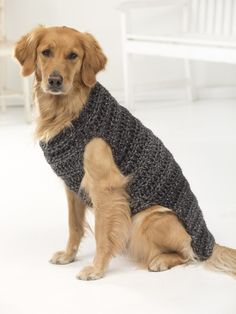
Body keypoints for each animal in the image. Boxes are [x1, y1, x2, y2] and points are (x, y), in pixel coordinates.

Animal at [14, 25, 236, 280]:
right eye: (46, 52)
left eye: (73, 55)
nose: (55, 80)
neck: (68, 112)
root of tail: (210, 244)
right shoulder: (73, 186)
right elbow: (74, 225)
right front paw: (68, 255)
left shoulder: (105, 188)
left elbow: (102, 232)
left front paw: (97, 268)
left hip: (148, 217)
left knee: (187, 255)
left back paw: (160, 260)